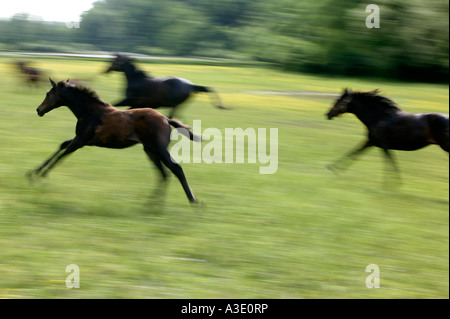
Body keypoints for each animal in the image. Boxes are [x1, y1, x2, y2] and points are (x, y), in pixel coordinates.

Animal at [29, 79, 200, 205]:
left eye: (48, 93)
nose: (38, 110)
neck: (89, 112)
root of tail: (166, 119)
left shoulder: (80, 140)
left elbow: (62, 154)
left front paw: (42, 174)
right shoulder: (82, 139)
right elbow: (62, 145)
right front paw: (33, 172)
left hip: (158, 149)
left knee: (176, 169)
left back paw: (193, 201)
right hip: (150, 150)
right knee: (164, 173)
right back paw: (152, 204)